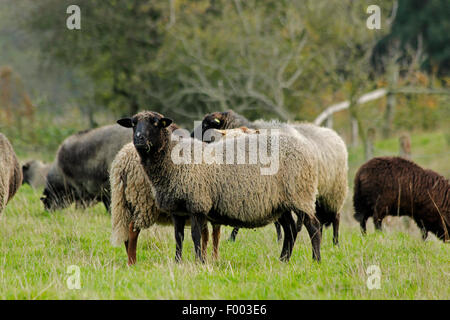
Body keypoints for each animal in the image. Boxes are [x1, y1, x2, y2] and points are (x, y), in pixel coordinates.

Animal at [116, 110, 320, 262]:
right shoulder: (177, 210)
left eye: (156, 123)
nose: (139, 139)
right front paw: (178, 262)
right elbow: (179, 237)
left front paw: (199, 262)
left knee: (313, 226)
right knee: (290, 229)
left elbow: (196, 236)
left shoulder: (198, 203)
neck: (174, 159)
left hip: (300, 194)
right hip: (281, 202)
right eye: (133, 124)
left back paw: (315, 260)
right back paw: (283, 260)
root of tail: (305, 147)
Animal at [197, 110, 348, 245]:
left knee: (336, 217)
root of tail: (334, 134)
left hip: (332, 191)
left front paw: (232, 238)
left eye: (206, 125)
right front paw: (280, 239)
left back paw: (335, 243)